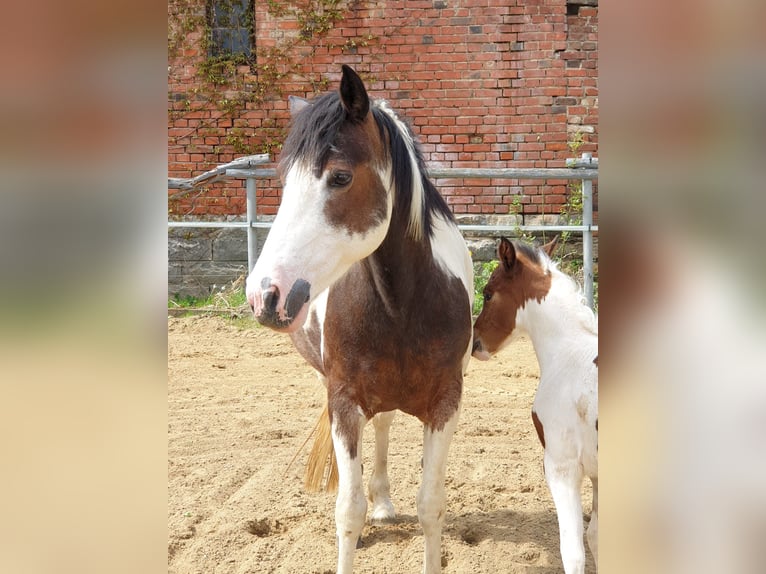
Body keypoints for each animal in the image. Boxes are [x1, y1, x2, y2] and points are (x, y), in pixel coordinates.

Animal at [248, 65, 474, 572]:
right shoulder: (344, 401)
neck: (402, 306)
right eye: (284, 181)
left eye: (340, 177)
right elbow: (348, 511)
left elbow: (431, 505)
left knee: (386, 425)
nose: (265, 295)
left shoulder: (446, 404)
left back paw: (385, 502)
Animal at [474, 237, 600, 574]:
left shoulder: (561, 466)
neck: (570, 354)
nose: (475, 343)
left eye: (488, 293)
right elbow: (596, 536)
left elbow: (573, 550)